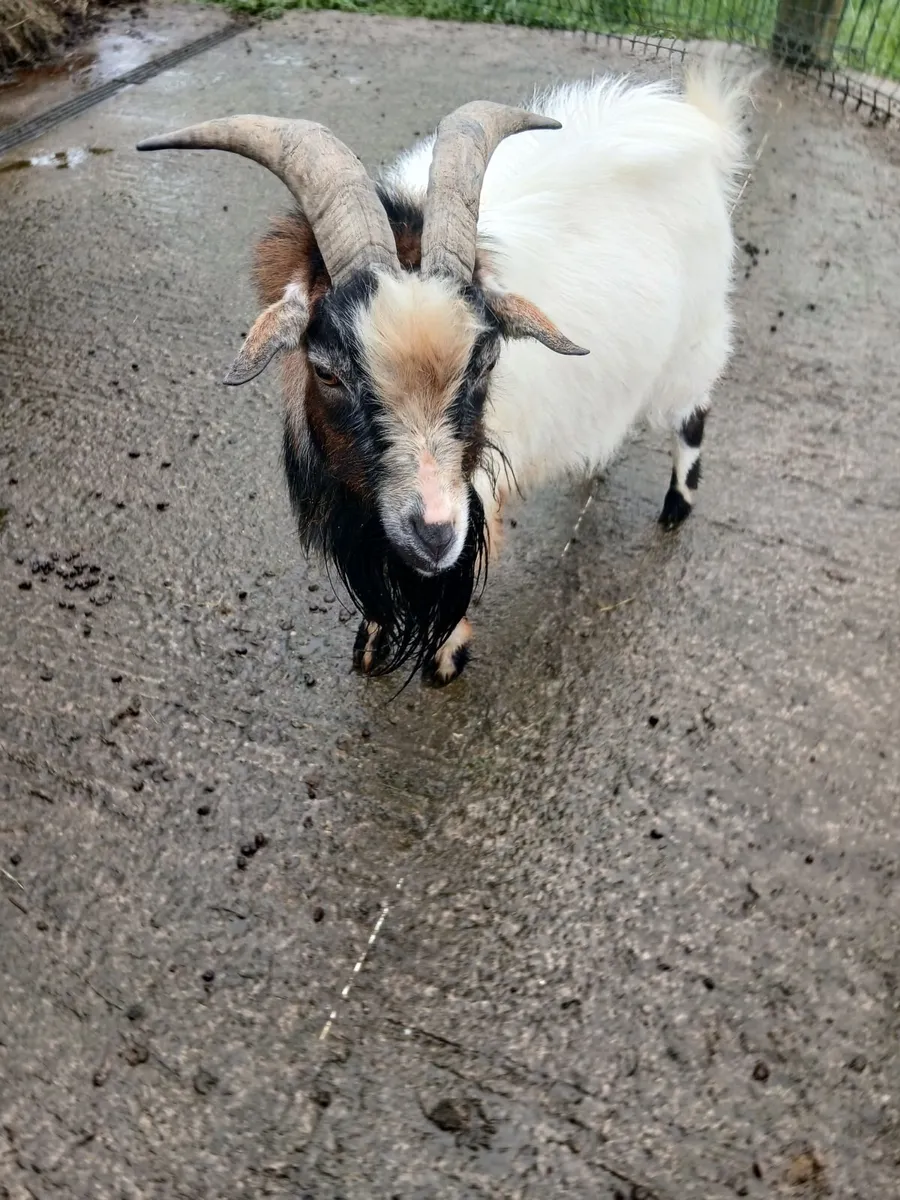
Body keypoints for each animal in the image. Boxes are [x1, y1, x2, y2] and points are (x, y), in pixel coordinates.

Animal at [137, 58, 753, 686]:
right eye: (327, 373)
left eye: (486, 364)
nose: (433, 532)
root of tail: (694, 122)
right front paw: (370, 644)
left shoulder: (476, 490)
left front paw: (446, 657)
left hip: (696, 334)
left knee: (694, 412)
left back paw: (676, 507)